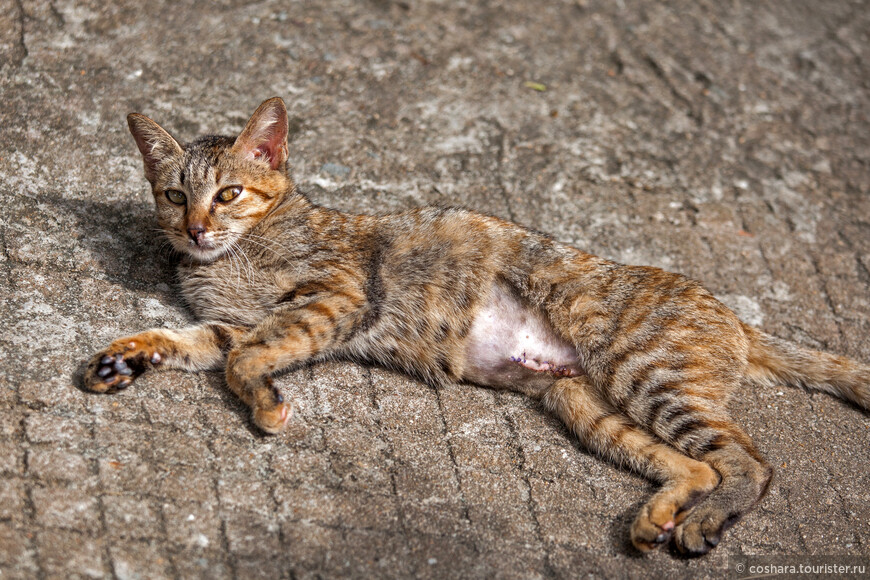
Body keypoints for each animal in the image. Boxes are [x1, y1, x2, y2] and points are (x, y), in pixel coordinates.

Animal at [83, 97, 870, 556]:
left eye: (229, 193)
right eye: (174, 194)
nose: (195, 227)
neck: (233, 258)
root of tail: (734, 313)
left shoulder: (333, 298)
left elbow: (245, 361)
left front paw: (268, 406)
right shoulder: (233, 323)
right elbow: (201, 346)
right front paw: (129, 356)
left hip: (644, 374)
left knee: (750, 462)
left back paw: (708, 518)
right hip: (584, 402)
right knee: (696, 464)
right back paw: (658, 517)